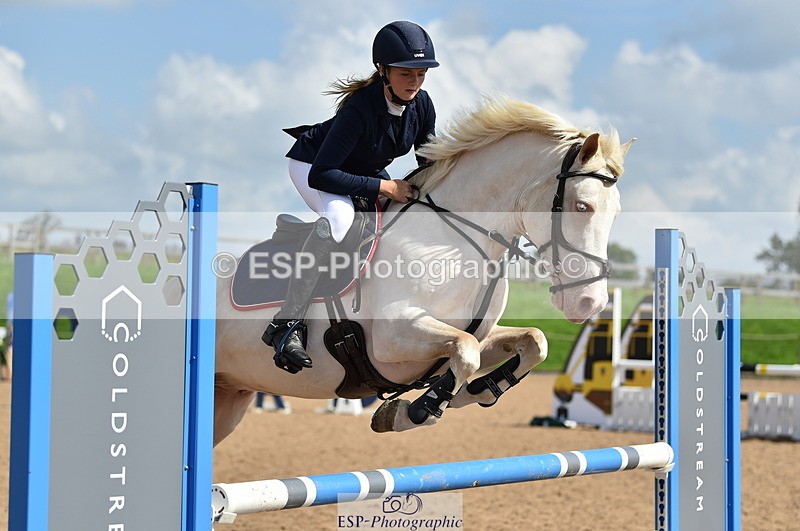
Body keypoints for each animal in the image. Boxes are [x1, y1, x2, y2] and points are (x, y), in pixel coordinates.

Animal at [213, 95, 635, 445]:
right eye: (582, 206)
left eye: (616, 213)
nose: (589, 303)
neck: (456, 240)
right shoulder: (392, 336)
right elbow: (466, 353)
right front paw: (413, 410)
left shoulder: (479, 332)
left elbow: (532, 342)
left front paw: (475, 392)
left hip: (229, 397)